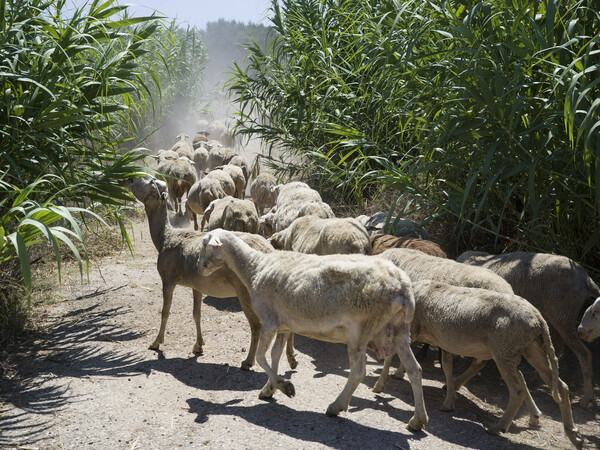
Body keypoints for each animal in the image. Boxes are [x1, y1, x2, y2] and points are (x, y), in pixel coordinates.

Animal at [122, 178, 298, 370]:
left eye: (149, 182)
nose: (128, 179)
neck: (164, 238)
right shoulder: (197, 285)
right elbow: (196, 313)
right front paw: (198, 345)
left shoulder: (167, 278)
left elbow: (165, 311)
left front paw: (156, 342)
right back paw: (292, 359)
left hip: (246, 292)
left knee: (256, 324)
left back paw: (248, 361)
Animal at [199, 230, 428, 430]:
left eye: (204, 244)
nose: (200, 267)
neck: (255, 267)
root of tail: (404, 289)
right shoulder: (284, 325)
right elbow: (274, 355)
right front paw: (270, 388)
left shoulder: (269, 321)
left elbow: (260, 357)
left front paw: (284, 386)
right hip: (398, 330)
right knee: (415, 370)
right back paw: (418, 420)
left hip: (361, 329)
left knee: (358, 372)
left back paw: (336, 406)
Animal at [378, 282, 584, 450]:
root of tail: (539, 320)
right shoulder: (445, 342)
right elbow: (447, 366)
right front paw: (448, 401)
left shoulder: (410, 330)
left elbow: (393, 356)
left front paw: (380, 385)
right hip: (532, 349)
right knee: (561, 387)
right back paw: (574, 435)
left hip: (504, 350)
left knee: (517, 389)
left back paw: (498, 427)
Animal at [454, 250, 600, 408]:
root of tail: (585, 278)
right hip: (556, 316)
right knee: (556, 350)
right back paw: (537, 378)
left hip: (563, 315)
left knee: (584, 354)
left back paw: (587, 398)